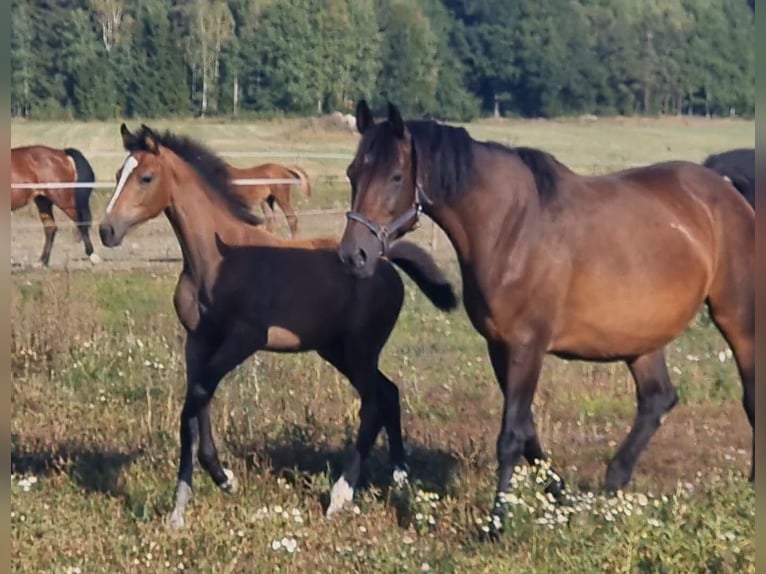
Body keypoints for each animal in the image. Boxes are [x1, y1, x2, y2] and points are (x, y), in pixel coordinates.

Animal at [96, 125, 456, 532]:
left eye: (146, 177)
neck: (214, 261)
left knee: (373, 404)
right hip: (338, 350)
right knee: (389, 394)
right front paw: (181, 506)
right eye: (117, 174)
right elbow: (195, 406)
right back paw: (400, 477)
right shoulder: (198, 341)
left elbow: (197, 398)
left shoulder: (244, 339)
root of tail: (382, 260)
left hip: (361, 349)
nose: (107, 230)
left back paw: (341, 496)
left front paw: (224, 480)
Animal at [340, 100, 756, 540]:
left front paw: (496, 524)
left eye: (396, 176)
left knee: (749, 396)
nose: (354, 255)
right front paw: (560, 495)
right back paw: (612, 484)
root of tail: (725, 189)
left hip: (737, 318)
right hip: (641, 337)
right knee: (657, 398)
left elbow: (510, 435)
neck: (511, 227)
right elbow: (528, 431)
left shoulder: (527, 346)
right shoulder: (500, 346)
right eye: (353, 172)